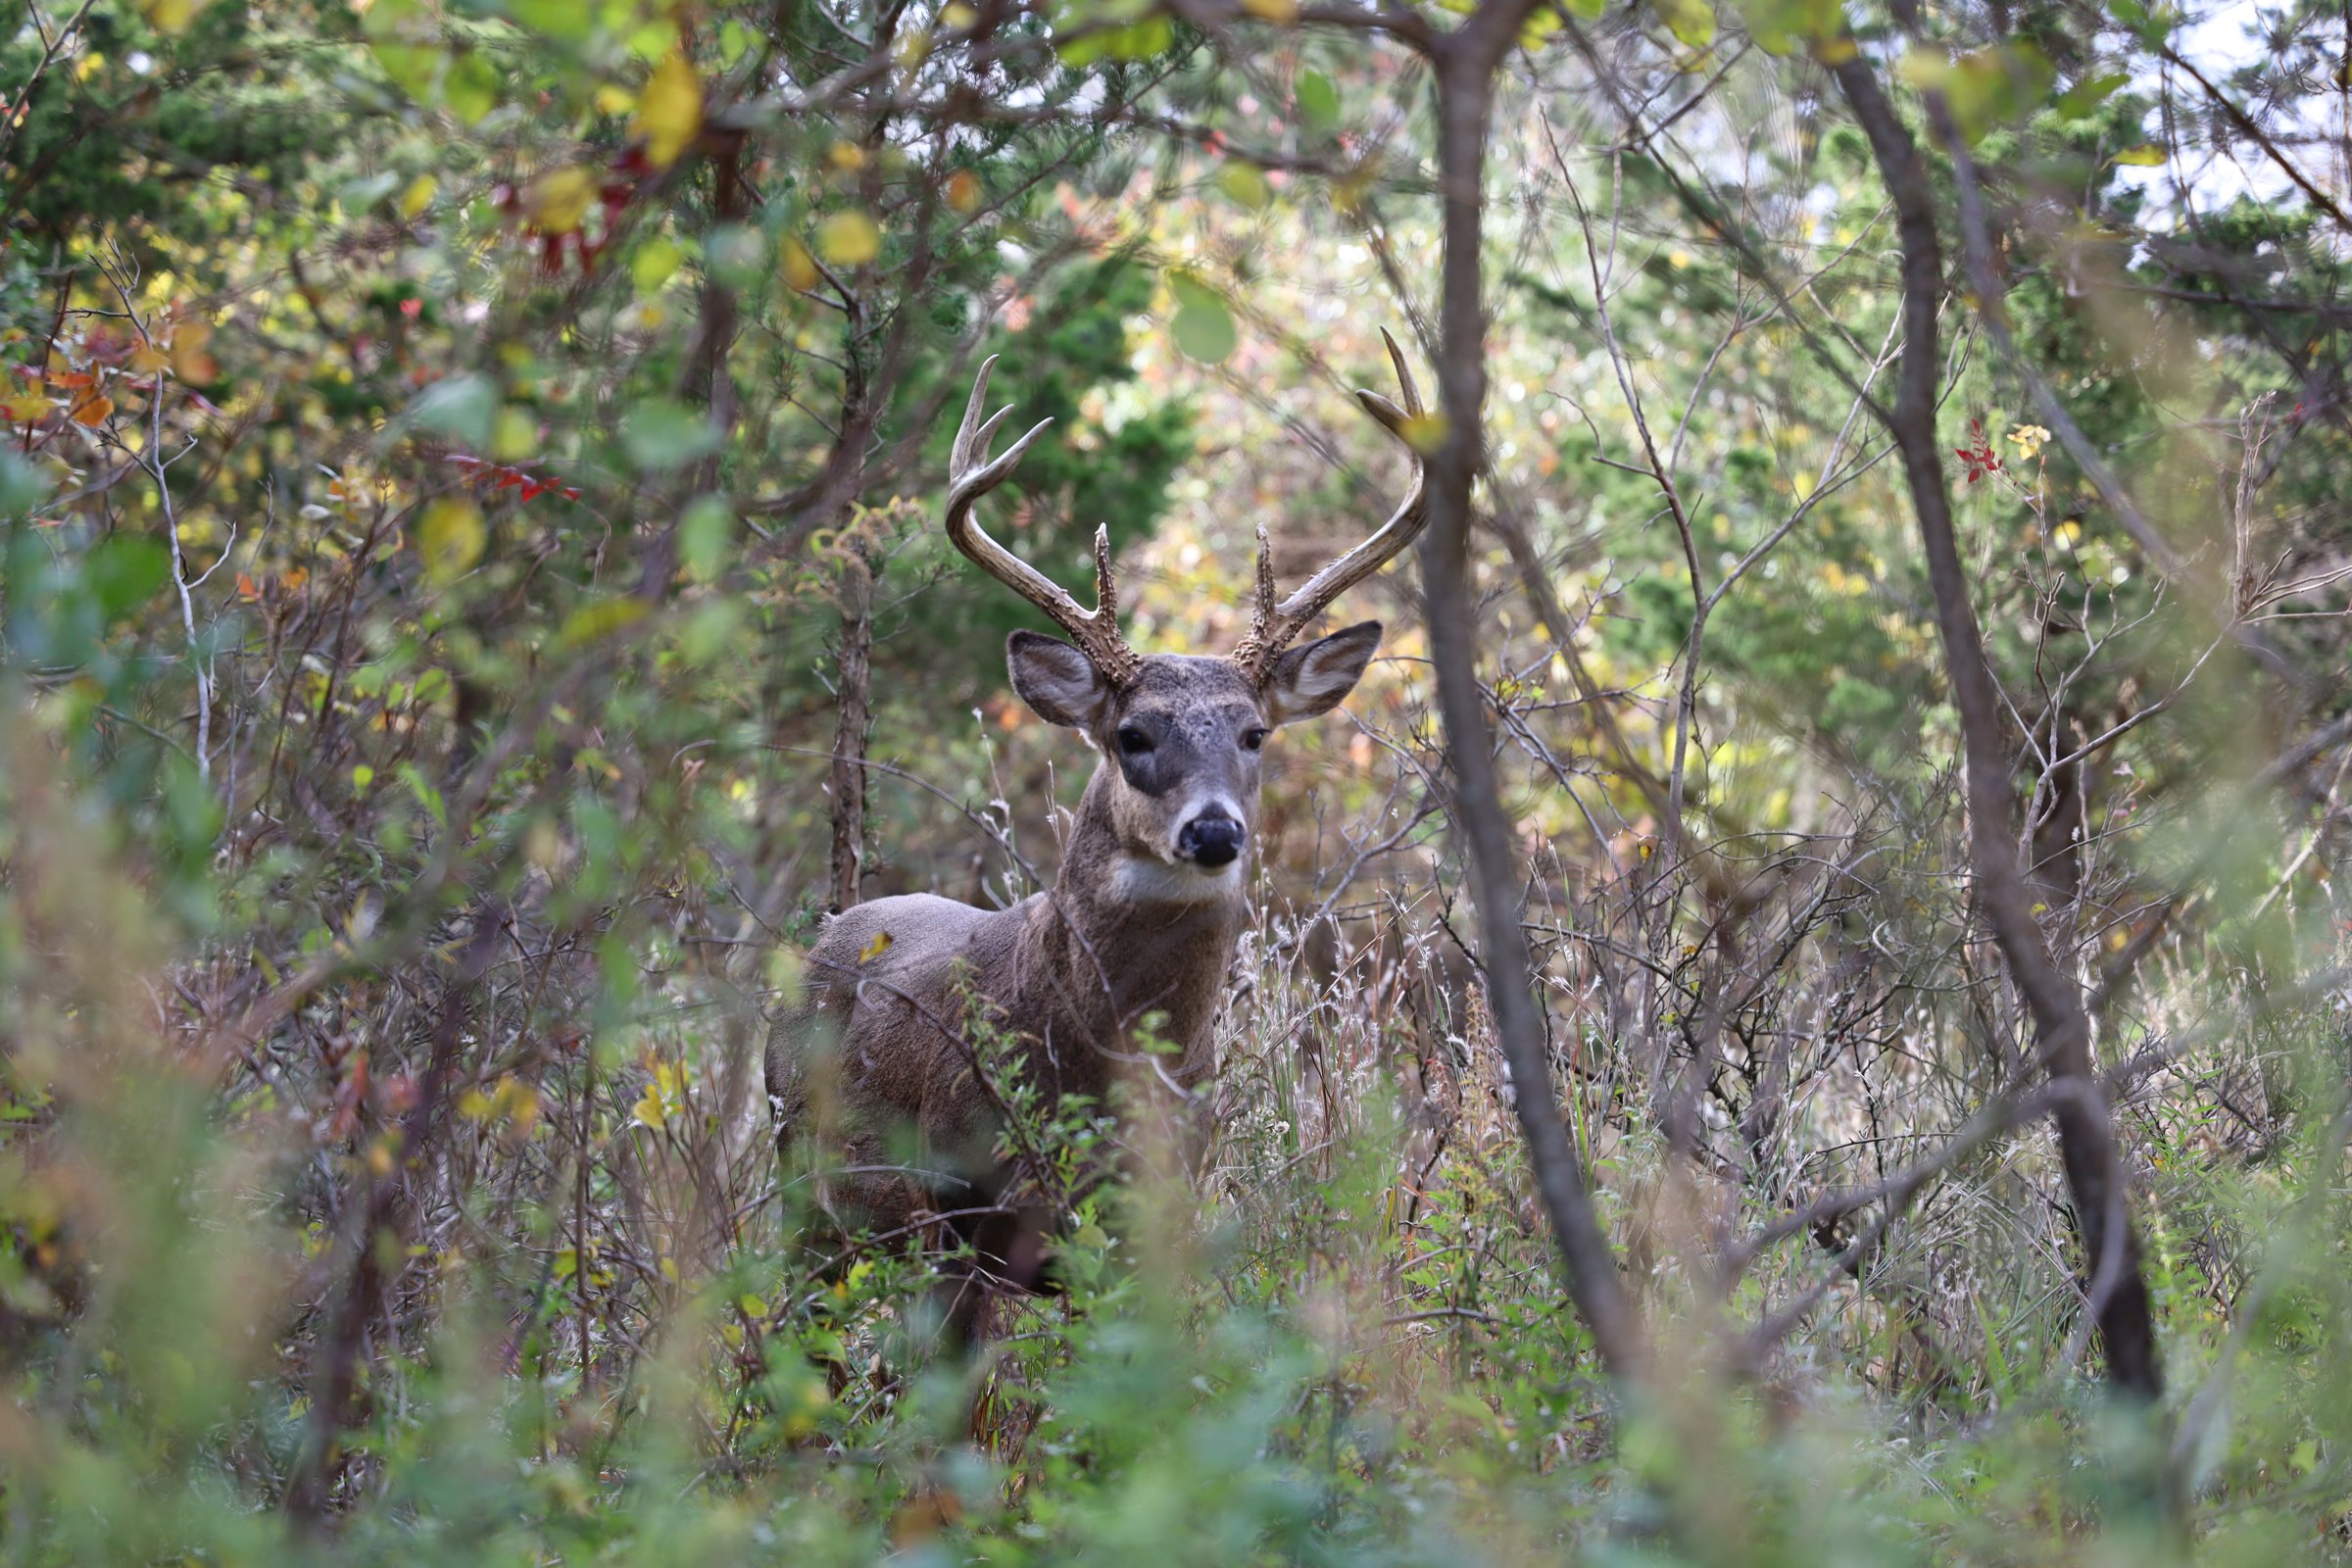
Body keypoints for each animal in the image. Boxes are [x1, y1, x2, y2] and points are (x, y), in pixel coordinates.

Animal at [767, 333, 1428, 1340]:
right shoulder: (959, 1207)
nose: (1213, 829)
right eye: (1132, 735)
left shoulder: (1154, 1218)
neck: (1101, 1063)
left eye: (1255, 734)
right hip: (802, 1176)